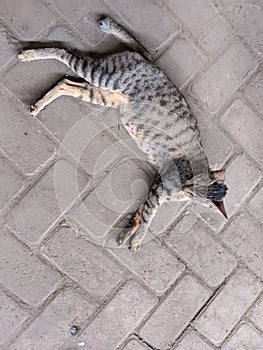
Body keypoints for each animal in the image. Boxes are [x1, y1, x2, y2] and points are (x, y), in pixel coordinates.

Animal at [17, 16, 228, 252]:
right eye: (192, 188)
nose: (183, 188)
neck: (181, 187)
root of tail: (151, 62)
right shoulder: (160, 186)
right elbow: (147, 217)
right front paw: (136, 238)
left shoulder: (158, 187)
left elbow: (142, 213)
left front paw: (130, 234)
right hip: (102, 75)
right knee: (65, 52)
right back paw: (29, 55)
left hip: (104, 94)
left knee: (66, 83)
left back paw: (39, 104)